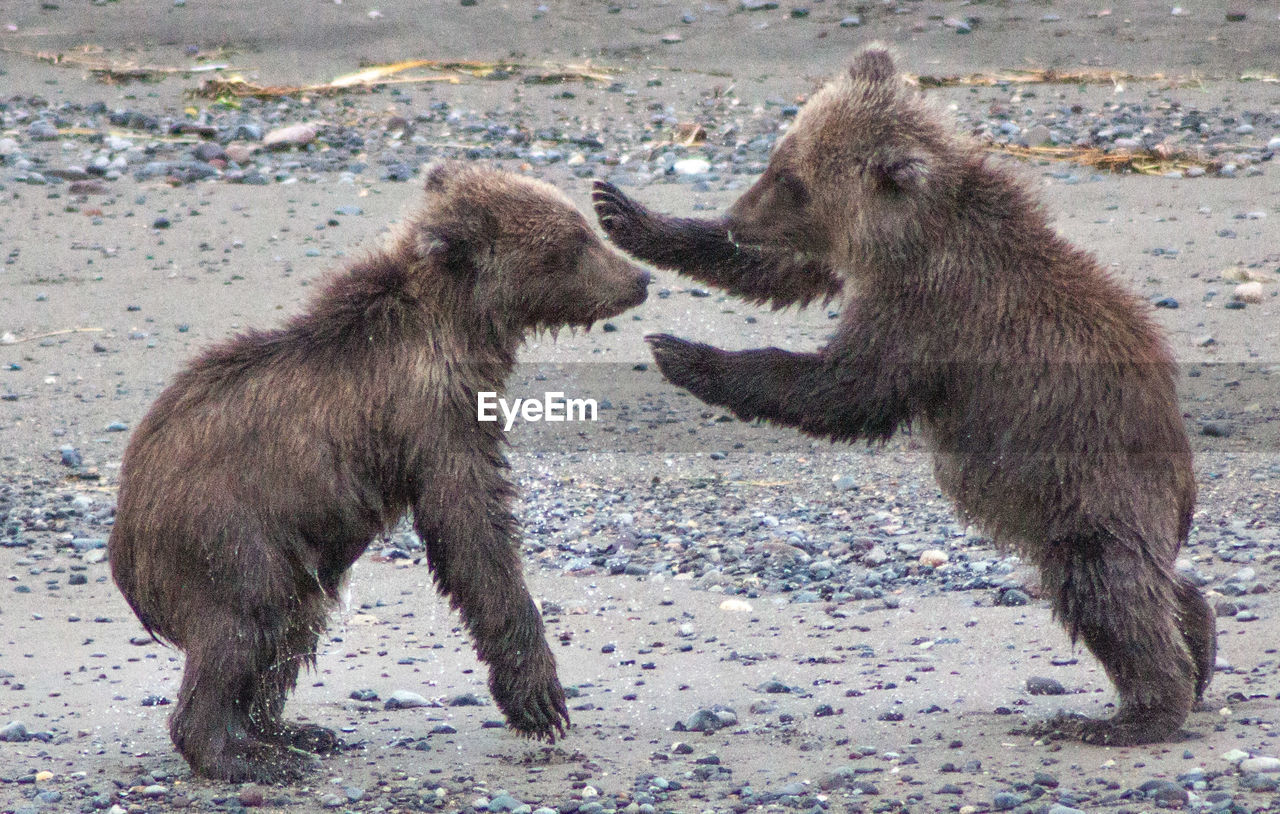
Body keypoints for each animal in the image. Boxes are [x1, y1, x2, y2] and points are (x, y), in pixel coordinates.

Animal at [108, 160, 650, 783]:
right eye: (573, 242)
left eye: (582, 227)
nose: (639, 277)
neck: (462, 327)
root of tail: (125, 543)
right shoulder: (431, 416)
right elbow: (471, 530)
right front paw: (539, 697)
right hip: (226, 533)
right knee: (243, 622)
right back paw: (243, 754)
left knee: (293, 628)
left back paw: (291, 731)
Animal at [593, 44, 1213, 742]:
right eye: (777, 159)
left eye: (793, 180)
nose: (736, 219)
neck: (908, 238)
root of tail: (1183, 475)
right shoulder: (860, 269)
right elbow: (780, 274)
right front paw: (627, 213)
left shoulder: (930, 313)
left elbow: (842, 390)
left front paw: (683, 352)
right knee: (1156, 585)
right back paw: (1201, 643)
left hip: (1086, 484)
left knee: (1109, 589)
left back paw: (1130, 713)